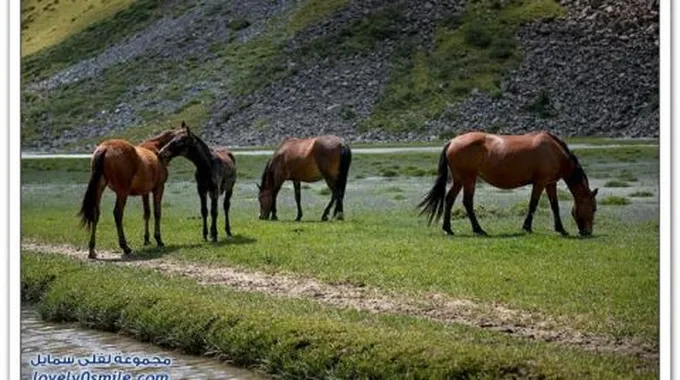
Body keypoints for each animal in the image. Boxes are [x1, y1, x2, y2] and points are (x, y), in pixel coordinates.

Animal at [418, 132, 596, 236]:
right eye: (594, 208)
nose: (587, 232)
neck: (554, 150)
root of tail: (452, 141)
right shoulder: (540, 182)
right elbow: (533, 204)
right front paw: (527, 227)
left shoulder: (550, 183)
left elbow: (555, 206)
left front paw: (561, 229)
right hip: (468, 178)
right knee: (467, 202)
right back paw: (478, 229)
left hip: (460, 179)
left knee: (450, 199)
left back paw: (448, 228)